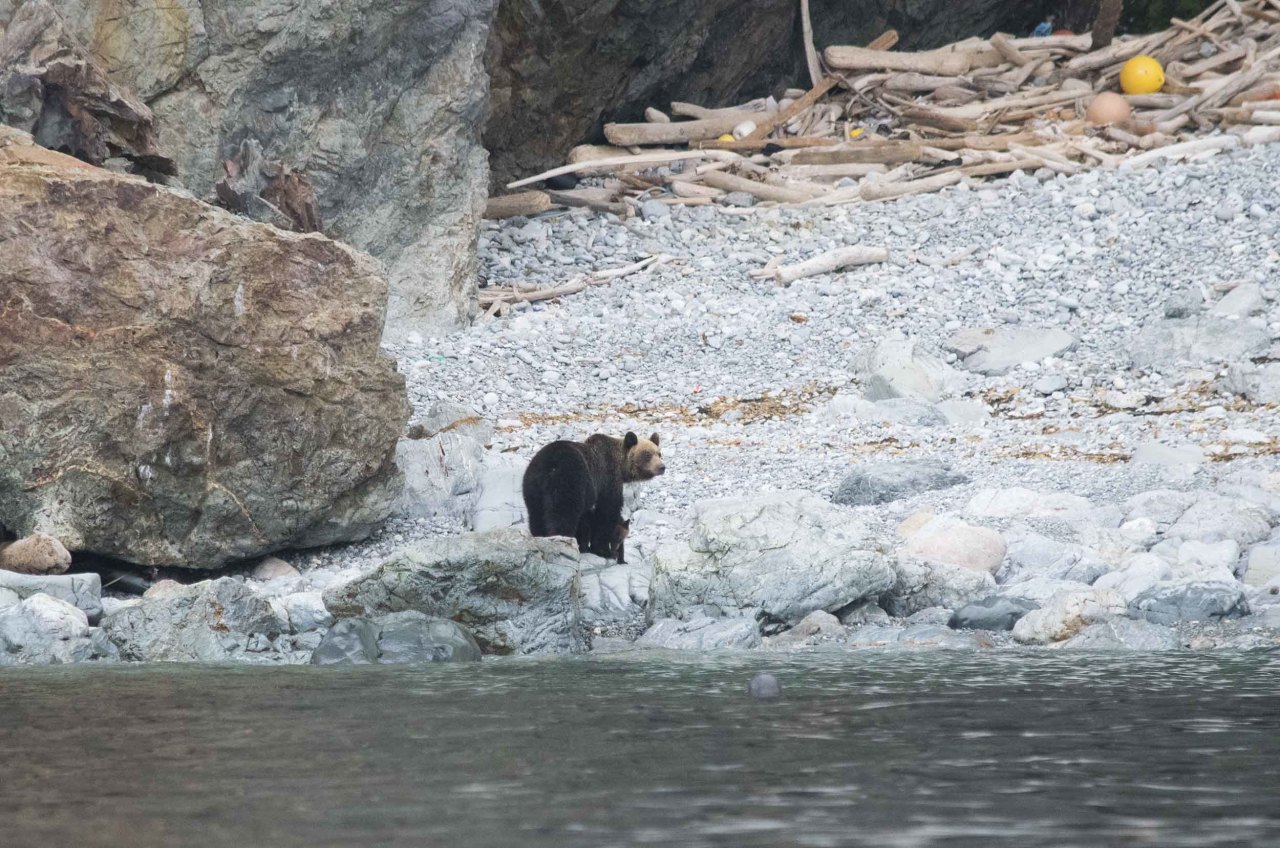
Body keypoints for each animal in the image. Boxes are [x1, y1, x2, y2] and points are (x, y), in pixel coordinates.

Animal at [519, 435, 665, 561]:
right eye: (647, 454)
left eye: (659, 453)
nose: (662, 467)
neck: (621, 466)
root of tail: (548, 465)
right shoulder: (607, 478)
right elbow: (607, 512)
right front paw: (603, 550)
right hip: (569, 481)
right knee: (563, 515)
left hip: (532, 487)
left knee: (536, 515)